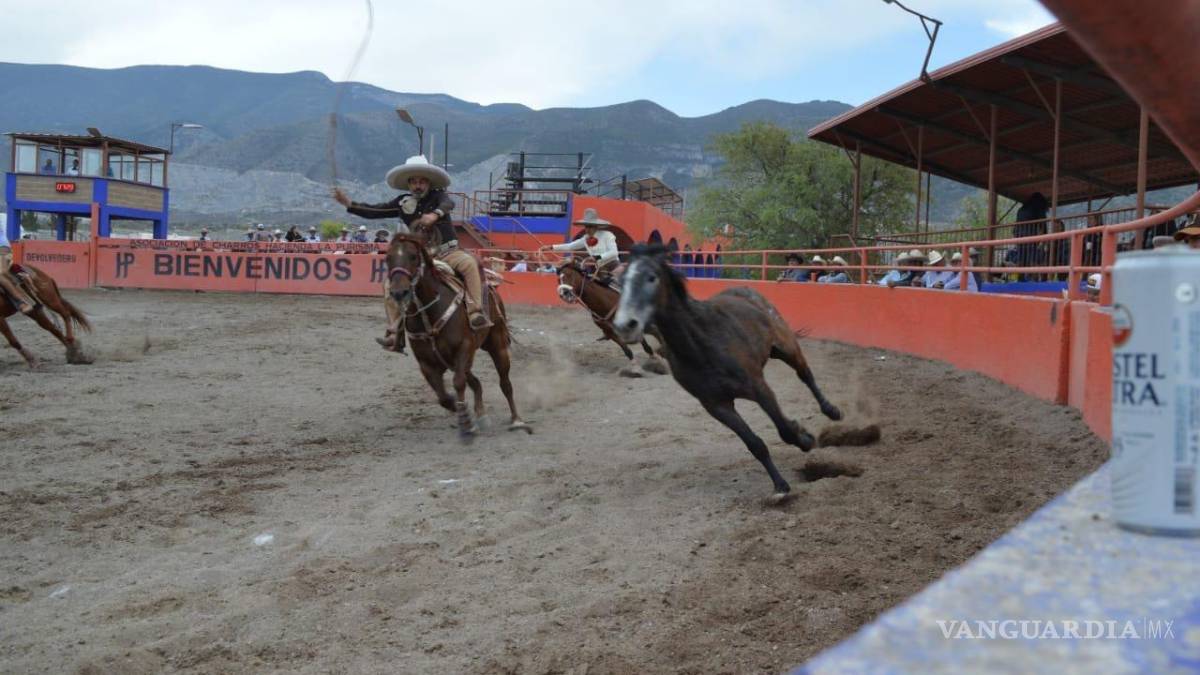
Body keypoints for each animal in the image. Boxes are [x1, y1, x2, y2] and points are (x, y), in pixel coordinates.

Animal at [386, 235, 531, 440]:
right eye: (388, 258)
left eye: (413, 256)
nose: (399, 292)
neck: (429, 314)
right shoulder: (426, 363)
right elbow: (444, 398)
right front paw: (465, 415)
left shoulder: (463, 348)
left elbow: (458, 383)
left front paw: (466, 422)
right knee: (476, 383)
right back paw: (481, 415)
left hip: (497, 344)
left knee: (505, 383)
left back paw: (516, 420)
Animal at [613, 244, 842, 500]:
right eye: (621, 280)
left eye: (651, 277)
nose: (625, 325)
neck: (703, 344)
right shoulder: (717, 405)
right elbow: (755, 444)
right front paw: (780, 486)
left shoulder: (759, 388)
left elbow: (784, 430)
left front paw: (805, 438)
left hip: (787, 347)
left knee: (805, 375)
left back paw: (832, 410)